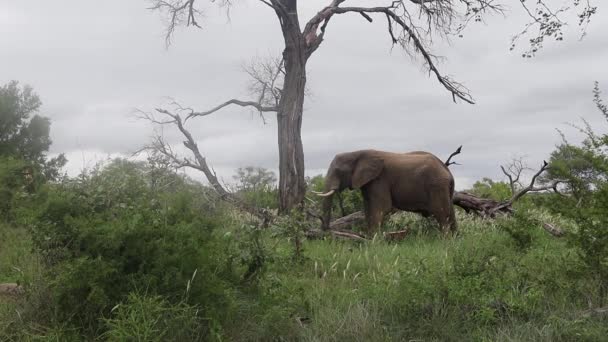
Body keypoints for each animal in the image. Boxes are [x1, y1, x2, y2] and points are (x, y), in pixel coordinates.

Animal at [314, 150, 456, 235]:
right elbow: (368, 209)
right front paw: (369, 237)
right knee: (451, 214)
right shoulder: (369, 182)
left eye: (339, 171)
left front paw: (375, 241)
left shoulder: (380, 179)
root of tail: (447, 170)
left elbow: (382, 208)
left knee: (441, 214)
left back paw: (445, 241)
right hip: (445, 189)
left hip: (437, 186)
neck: (357, 153)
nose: (327, 231)